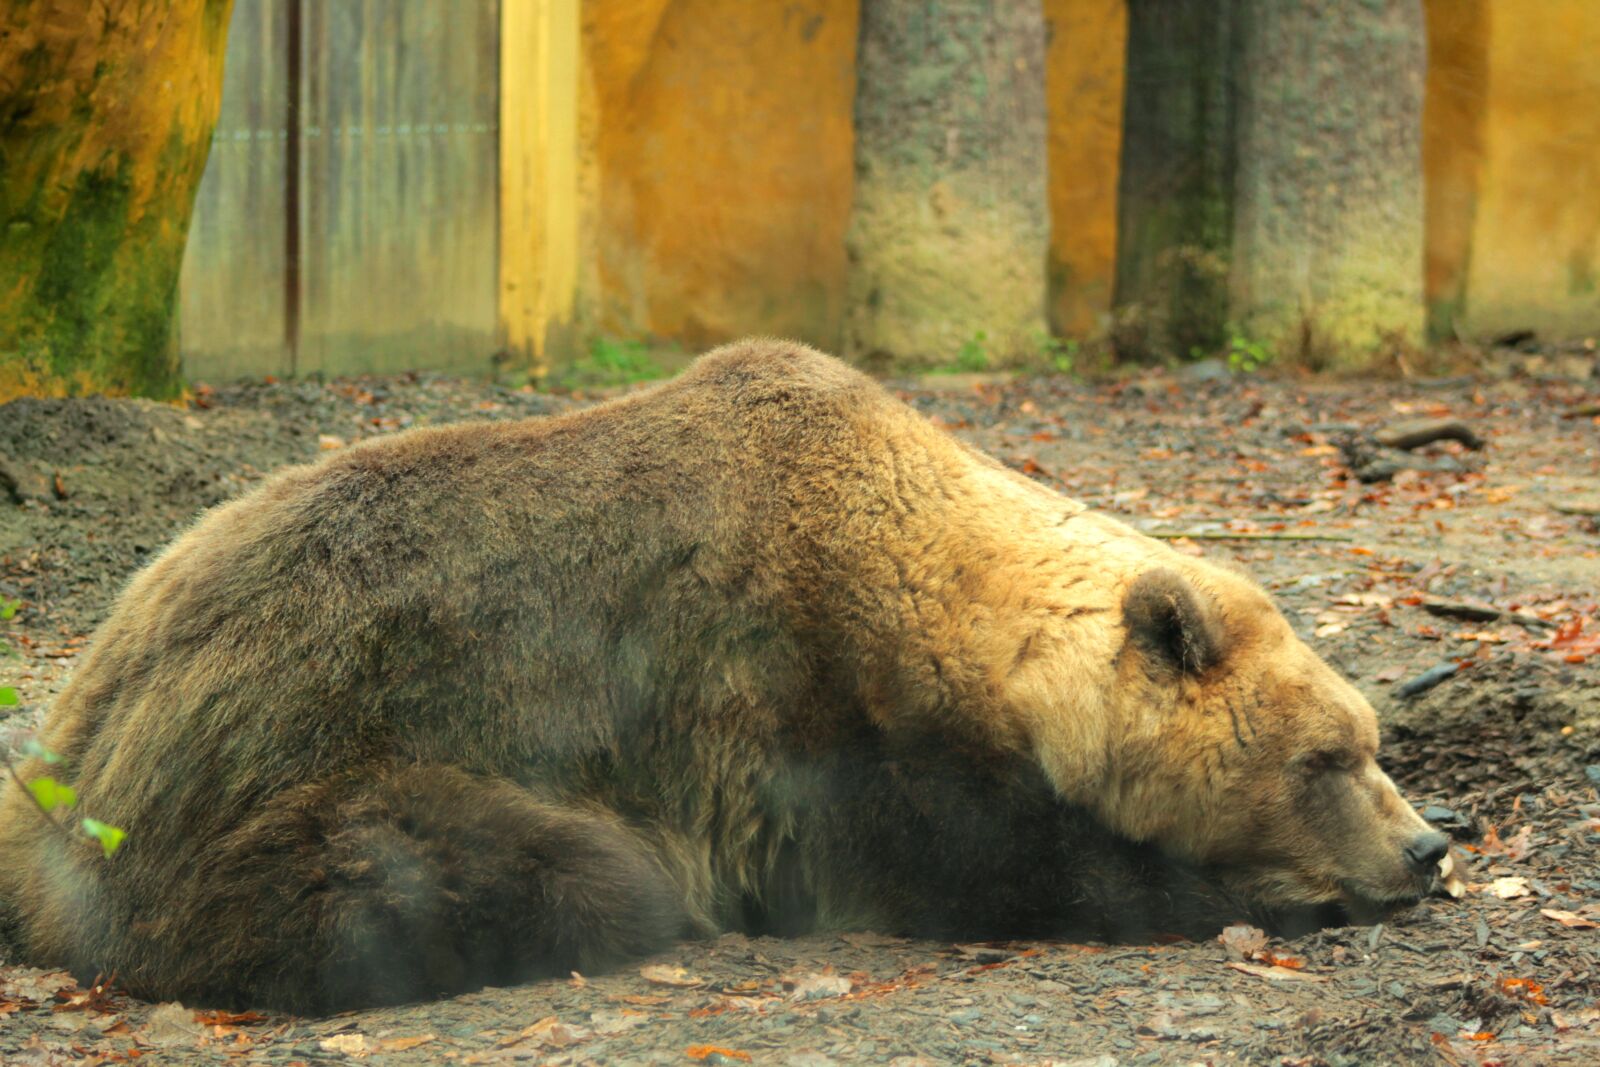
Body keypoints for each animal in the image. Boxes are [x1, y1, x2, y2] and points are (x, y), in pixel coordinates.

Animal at [0, 340, 1450, 1013]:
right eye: (1325, 756)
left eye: (1371, 738)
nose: (1429, 845)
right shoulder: (814, 710)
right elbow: (996, 864)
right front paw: (1253, 892)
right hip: (292, 764)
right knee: (514, 866)